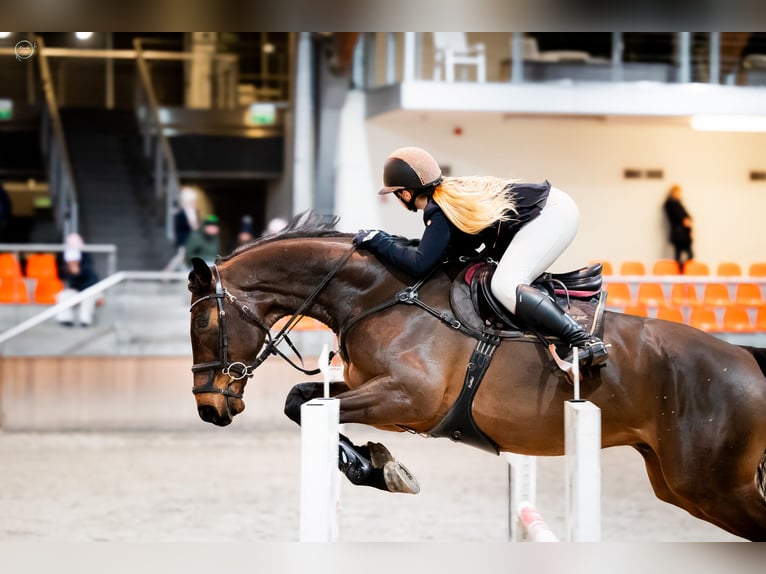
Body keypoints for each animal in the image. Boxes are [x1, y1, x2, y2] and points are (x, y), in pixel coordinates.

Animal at [186, 213, 766, 544]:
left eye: (203, 323)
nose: (209, 410)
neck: (379, 294)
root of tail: (747, 359)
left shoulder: (408, 398)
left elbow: (302, 402)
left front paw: (380, 467)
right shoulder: (369, 390)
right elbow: (302, 400)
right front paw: (376, 467)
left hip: (713, 486)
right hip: (681, 485)